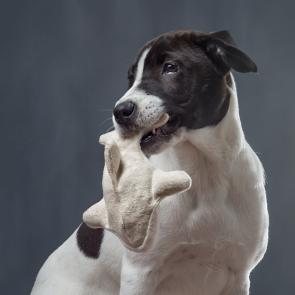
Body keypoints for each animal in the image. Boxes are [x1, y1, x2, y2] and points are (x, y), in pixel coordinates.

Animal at [31, 30, 270, 295]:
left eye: (170, 67)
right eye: (130, 77)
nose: (120, 111)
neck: (204, 172)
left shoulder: (238, 276)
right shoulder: (139, 274)